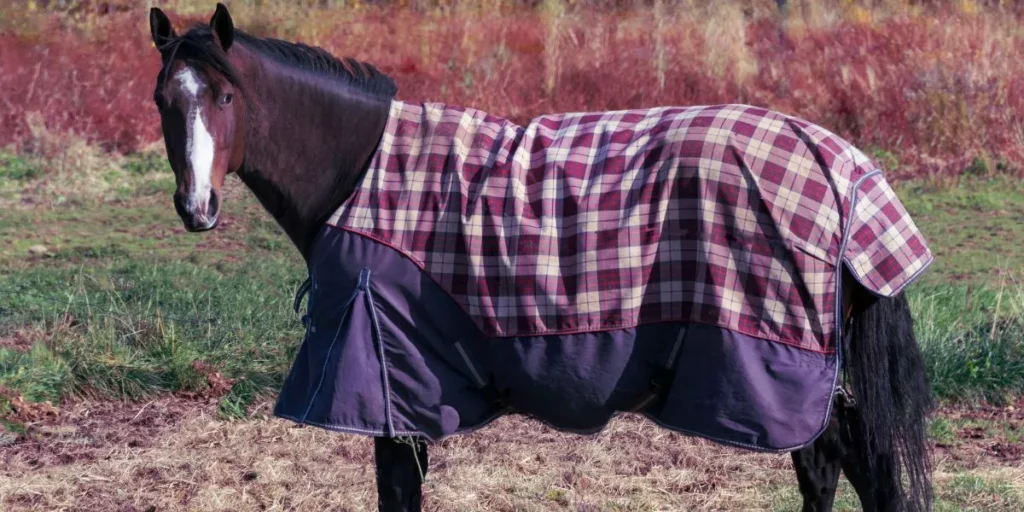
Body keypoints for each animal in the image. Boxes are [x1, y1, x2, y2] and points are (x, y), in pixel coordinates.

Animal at [147, 4, 934, 511]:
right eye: (163, 100)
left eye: (225, 96)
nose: (196, 208)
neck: (362, 172)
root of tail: (842, 168)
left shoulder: (388, 389)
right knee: (833, 471)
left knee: (852, 473)